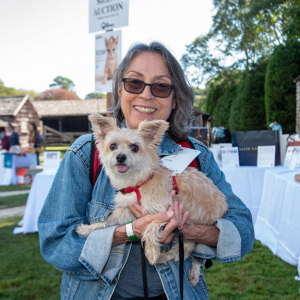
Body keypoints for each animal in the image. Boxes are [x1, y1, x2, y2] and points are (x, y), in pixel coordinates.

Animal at [75, 114, 227, 286]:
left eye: (134, 147)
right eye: (113, 146)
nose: (120, 157)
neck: (139, 182)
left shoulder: (165, 212)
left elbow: (149, 230)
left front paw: (152, 252)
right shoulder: (127, 211)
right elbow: (108, 220)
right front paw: (88, 228)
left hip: (192, 234)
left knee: (185, 253)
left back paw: (169, 261)